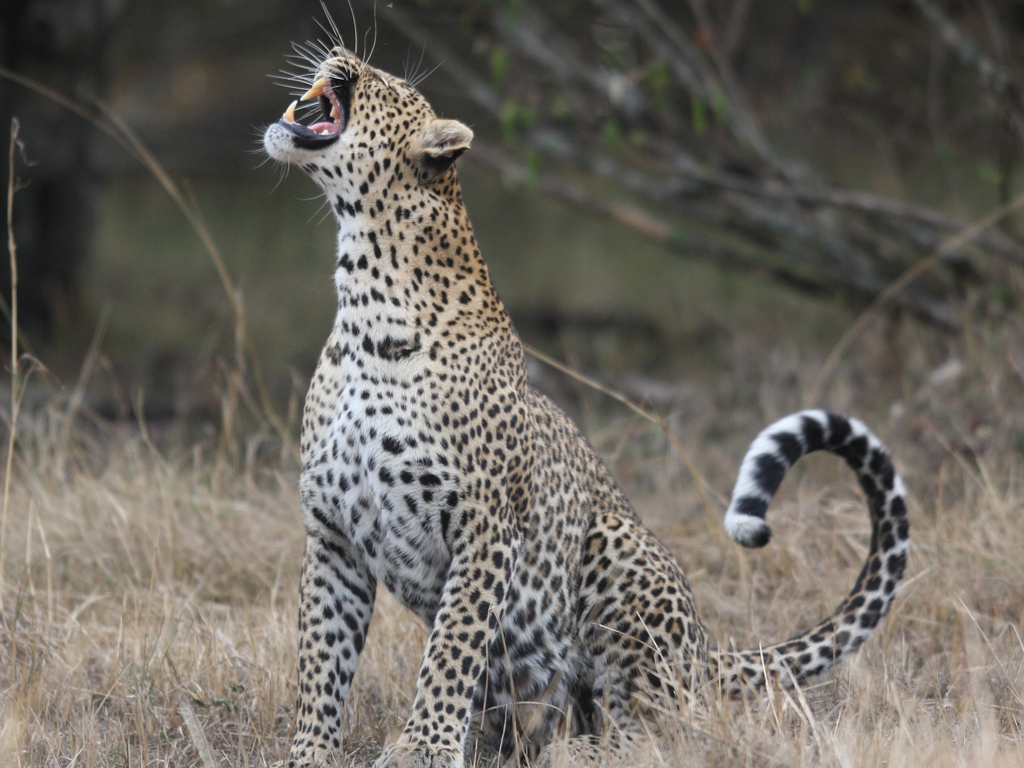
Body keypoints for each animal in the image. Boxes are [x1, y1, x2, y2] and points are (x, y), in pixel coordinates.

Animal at [262, 43, 910, 768]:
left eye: (389, 83)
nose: (341, 53)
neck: (364, 305)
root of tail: (705, 652)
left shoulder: (486, 525)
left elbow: (450, 651)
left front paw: (418, 750)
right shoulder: (331, 532)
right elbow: (322, 657)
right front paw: (309, 754)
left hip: (615, 558)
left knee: (656, 727)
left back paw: (576, 753)